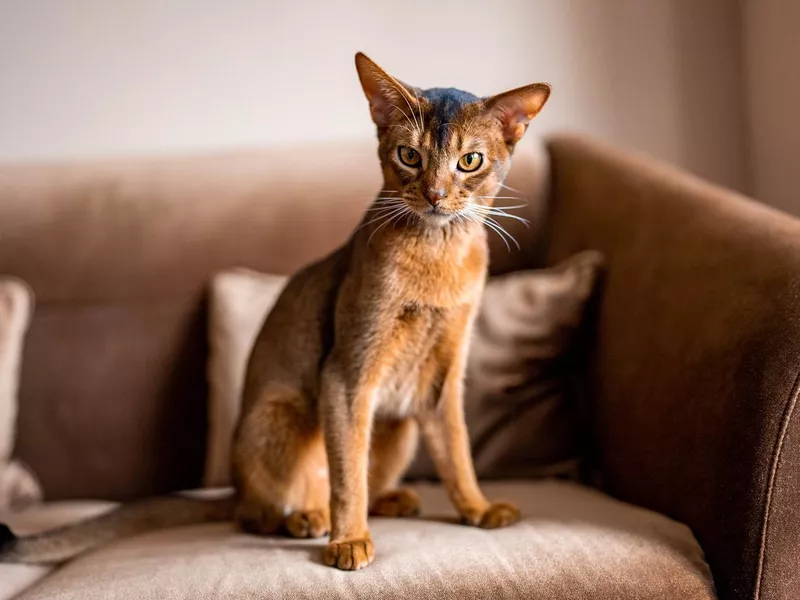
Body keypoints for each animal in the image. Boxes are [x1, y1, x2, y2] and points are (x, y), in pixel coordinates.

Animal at [0, 52, 552, 572]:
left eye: (470, 160)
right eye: (409, 155)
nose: (435, 195)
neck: (440, 254)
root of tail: (234, 487)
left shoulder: (444, 377)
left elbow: (457, 453)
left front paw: (477, 508)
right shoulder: (345, 376)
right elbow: (347, 474)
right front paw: (350, 540)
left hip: (398, 427)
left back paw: (388, 500)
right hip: (284, 415)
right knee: (259, 512)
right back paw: (309, 519)